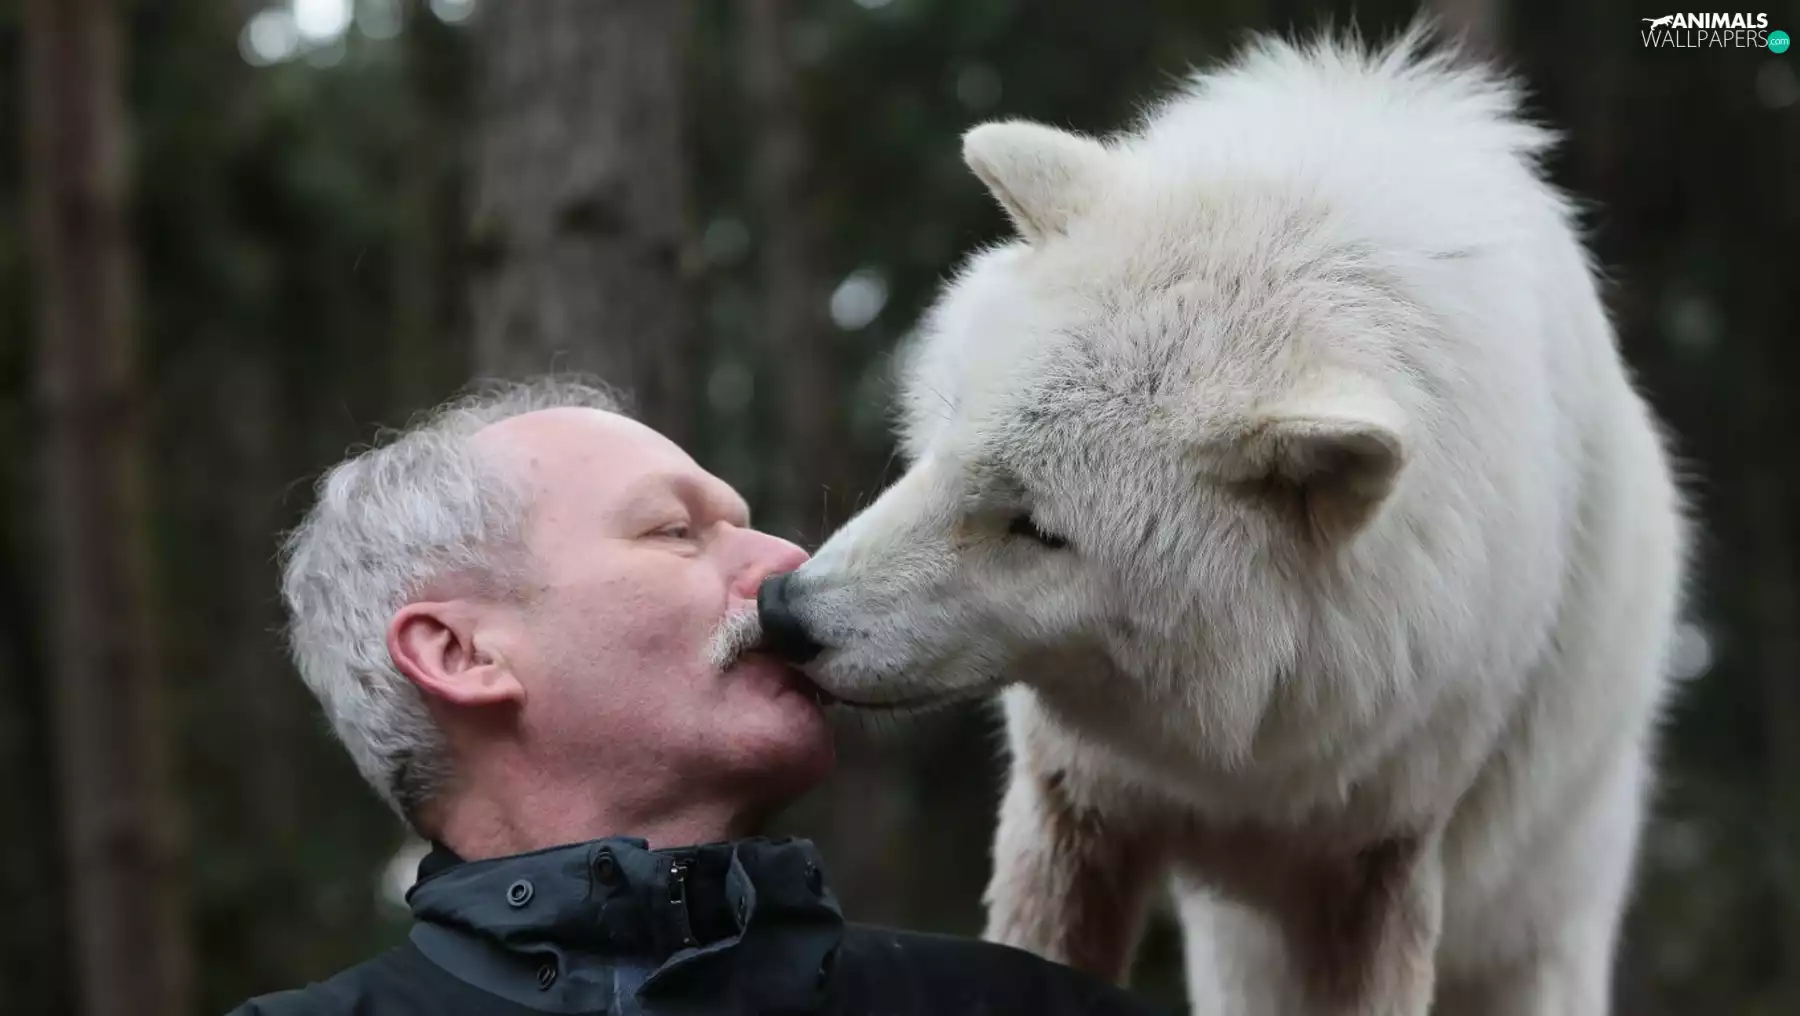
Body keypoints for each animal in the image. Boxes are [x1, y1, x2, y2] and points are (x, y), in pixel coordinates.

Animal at [757, 24, 1689, 1016]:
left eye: (1039, 531)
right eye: (946, 450)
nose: (785, 612)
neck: (1232, 751)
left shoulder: (1380, 863)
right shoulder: (1072, 806)